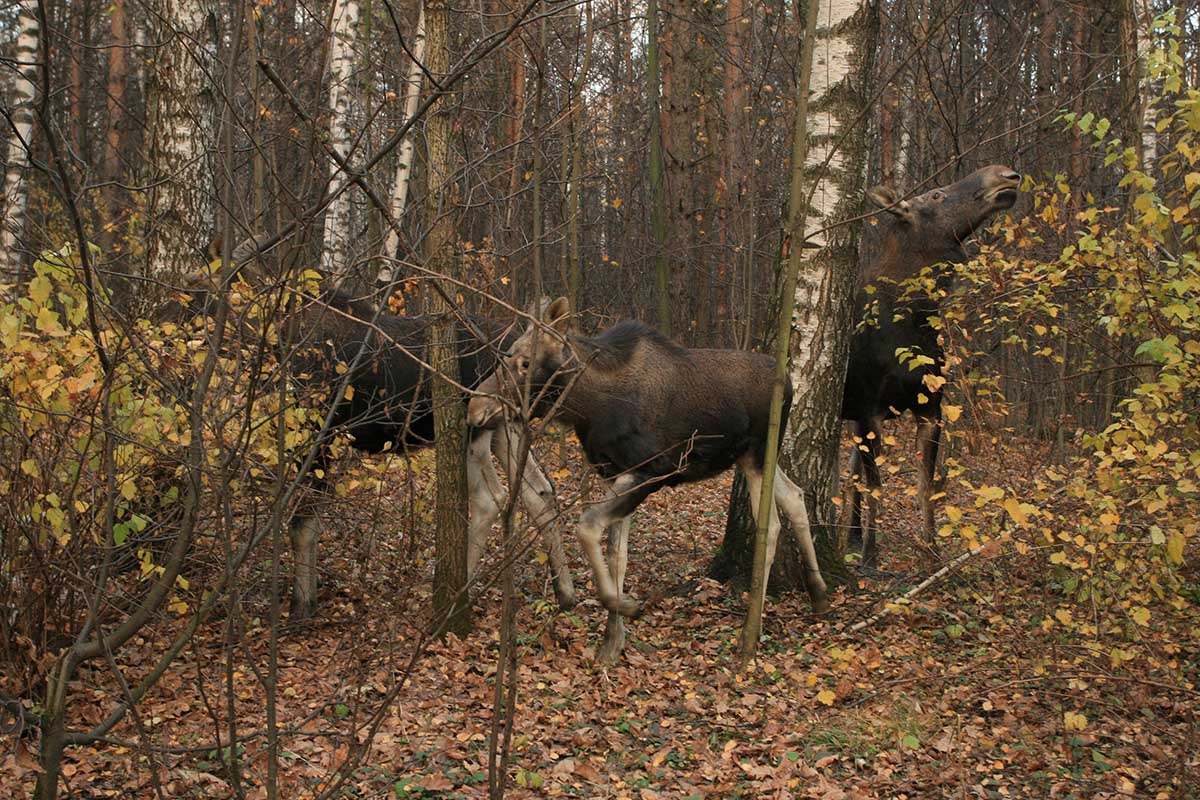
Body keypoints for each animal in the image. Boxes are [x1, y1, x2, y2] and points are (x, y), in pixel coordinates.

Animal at [463, 298, 830, 662]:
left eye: (525, 362)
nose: (474, 408)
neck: (590, 406)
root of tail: (791, 386)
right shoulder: (613, 474)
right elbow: (617, 556)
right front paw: (611, 643)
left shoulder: (654, 469)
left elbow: (588, 527)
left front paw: (626, 606)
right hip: (752, 457)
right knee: (795, 496)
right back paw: (820, 595)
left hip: (757, 454)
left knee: (771, 525)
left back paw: (750, 634)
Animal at [844, 164, 1022, 568]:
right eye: (937, 195)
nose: (1005, 175)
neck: (914, 319)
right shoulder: (868, 409)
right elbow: (877, 484)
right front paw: (872, 556)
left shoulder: (931, 407)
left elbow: (926, 484)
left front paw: (931, 549)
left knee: (848, 475)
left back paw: (851, 536)